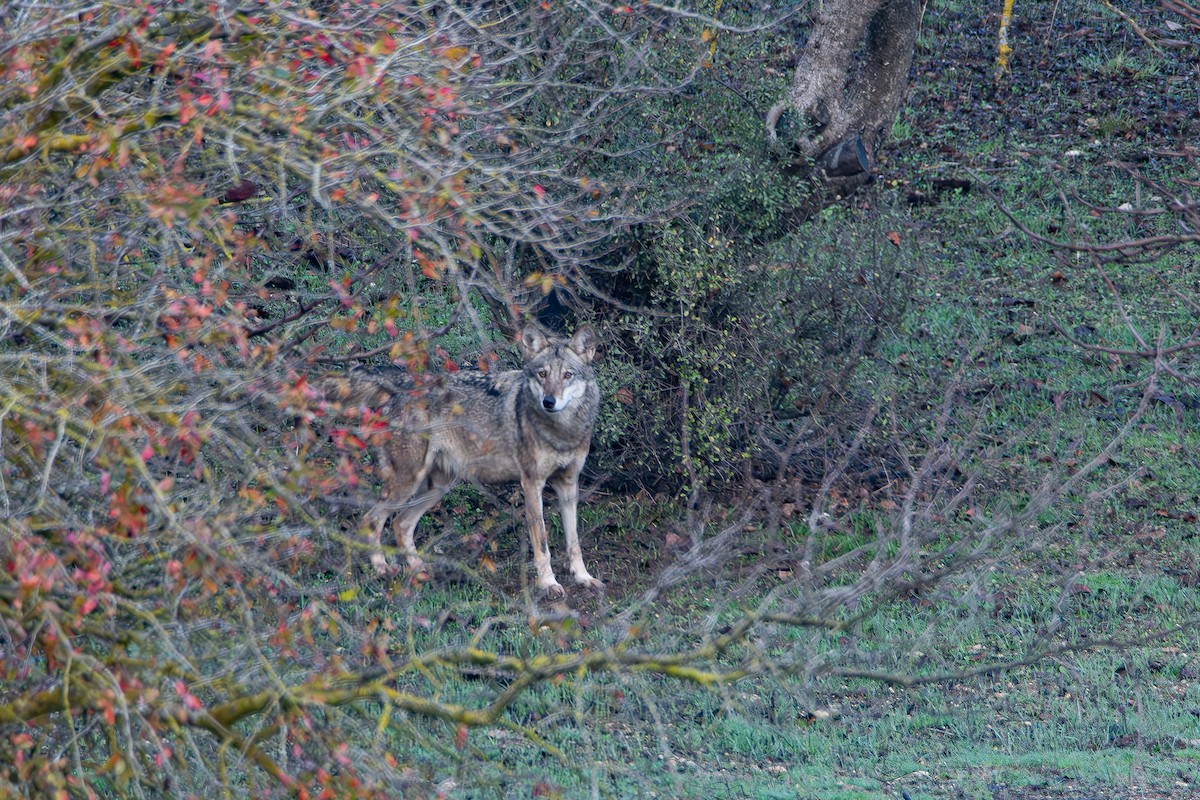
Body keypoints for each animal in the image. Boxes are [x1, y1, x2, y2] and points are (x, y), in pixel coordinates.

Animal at [346, 325, 603, 595]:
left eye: (567, 375)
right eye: (543, 374)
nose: (549, 402)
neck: (562, 431)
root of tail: (401, 385)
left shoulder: (568, 484)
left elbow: (574, 542)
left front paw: (583, 577)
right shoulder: (532, 484)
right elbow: (542, 544)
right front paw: (549, 583)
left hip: (438, 486)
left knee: (400, 524)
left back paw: (420, 570)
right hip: (408, 483)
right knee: (372, 519)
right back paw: (382, 568)